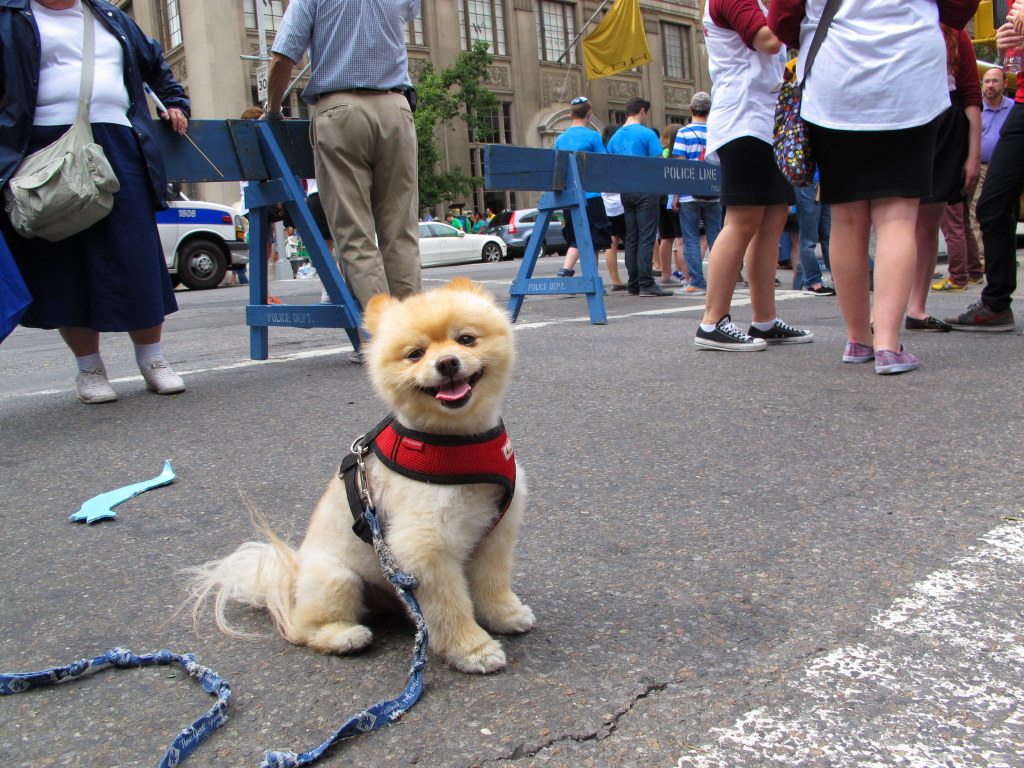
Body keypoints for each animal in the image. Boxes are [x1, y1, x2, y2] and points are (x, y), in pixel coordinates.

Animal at [189, 280, 536, 675]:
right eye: (415, 354)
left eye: (465, 339)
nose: (446, 362)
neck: (457, 443)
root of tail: (291, 576)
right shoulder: (424, 549)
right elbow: (450, 607)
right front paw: (472, 649)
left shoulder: (495, 532)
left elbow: (492, 582)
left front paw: (504, 615)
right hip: (337, 579)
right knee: (303, 626)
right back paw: (342, 636)